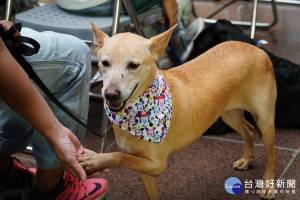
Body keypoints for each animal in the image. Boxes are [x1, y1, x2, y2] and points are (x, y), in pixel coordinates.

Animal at [79, 21, 276, 199]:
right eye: (104, 63)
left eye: (133, 65)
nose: (110, 95)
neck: (137, 111)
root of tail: (255, 48)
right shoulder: (146, 169)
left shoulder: (156, 165)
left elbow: (120, 156)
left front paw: (96, 160)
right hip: (229, 114)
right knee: (249, 130)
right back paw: (247, 159)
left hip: (265, 120)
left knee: (271, 153)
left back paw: (268, 185)